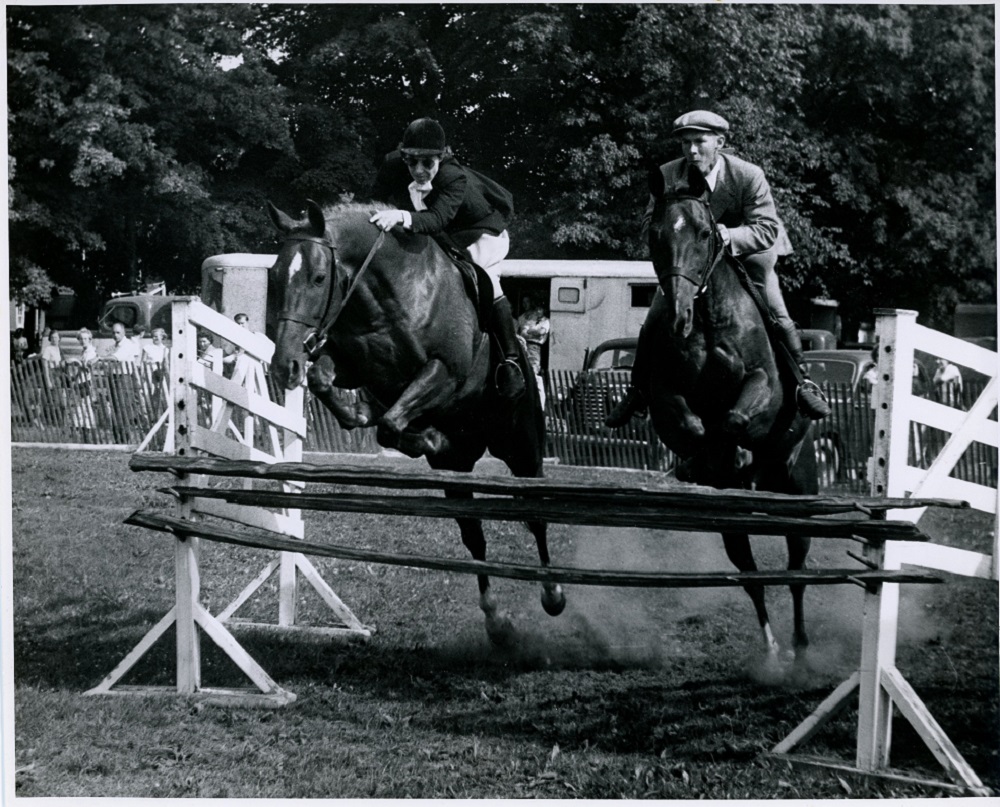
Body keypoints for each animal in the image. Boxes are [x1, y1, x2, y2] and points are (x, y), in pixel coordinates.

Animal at [266, 200, 564, 644]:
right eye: (273, 275)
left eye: (319, 278)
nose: (283, 366)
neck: (381, 297)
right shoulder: (358, 369)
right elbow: (334, 385)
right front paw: (382, 421)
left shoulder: (445, 371)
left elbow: (392, 422)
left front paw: (420, 435)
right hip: (456, 470)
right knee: (473, 534)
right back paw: (496, 621)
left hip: (522, 447)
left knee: (535, 516)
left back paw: (553, 594)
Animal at [636, 166, 816, 668]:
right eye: (655, 235)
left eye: (703, 233)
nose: (678, 316)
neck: (707, 317)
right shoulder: (665, 396)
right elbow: (693, 426)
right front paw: (705, 462)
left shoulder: (764, 384)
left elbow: (735, 418)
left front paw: (734, 454)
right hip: (731, 525)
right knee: (750, 573)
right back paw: (772, 649)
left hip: (799, 489)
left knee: (796, 569)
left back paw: (799, 646)